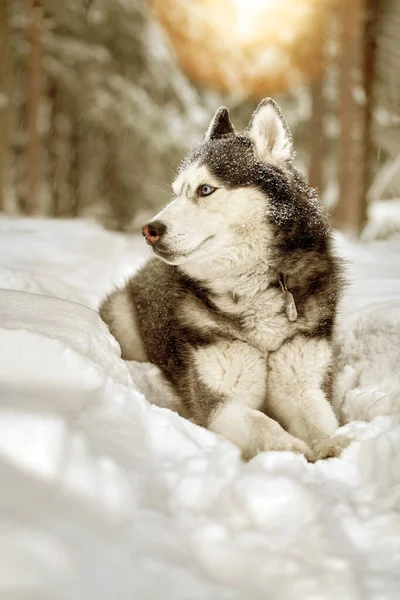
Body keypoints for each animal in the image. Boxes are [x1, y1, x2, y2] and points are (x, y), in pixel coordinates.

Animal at [101, 101, 346, 462]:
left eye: (205, 189)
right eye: (176, 193)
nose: (150, 229)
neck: (250, 286)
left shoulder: (302, 385)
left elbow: (319, 421)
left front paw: (332, 444)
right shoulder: (220, 401)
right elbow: (262, 423)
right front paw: (287, 448)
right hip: (122, 318)